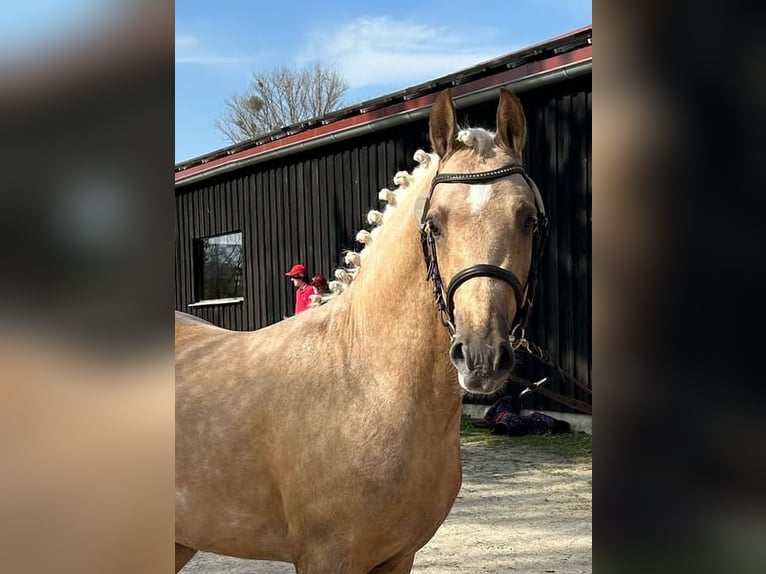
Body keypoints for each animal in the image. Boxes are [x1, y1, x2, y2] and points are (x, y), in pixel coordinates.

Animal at [176, 88, 544, 572]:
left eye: (528, 219)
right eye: (435, 224)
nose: (481, 357)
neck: (364, 380)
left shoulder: (400, 556)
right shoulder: (327, 559)